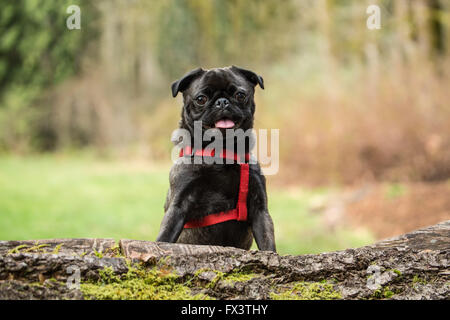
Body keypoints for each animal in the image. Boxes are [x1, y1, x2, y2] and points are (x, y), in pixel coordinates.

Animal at [156, 66, 276, 251]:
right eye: (201, 99)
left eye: (240, 95)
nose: (222, 102)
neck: (220, 152)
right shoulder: (178, 206)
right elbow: (165, 236)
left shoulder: (259, 209)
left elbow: (267, 242)